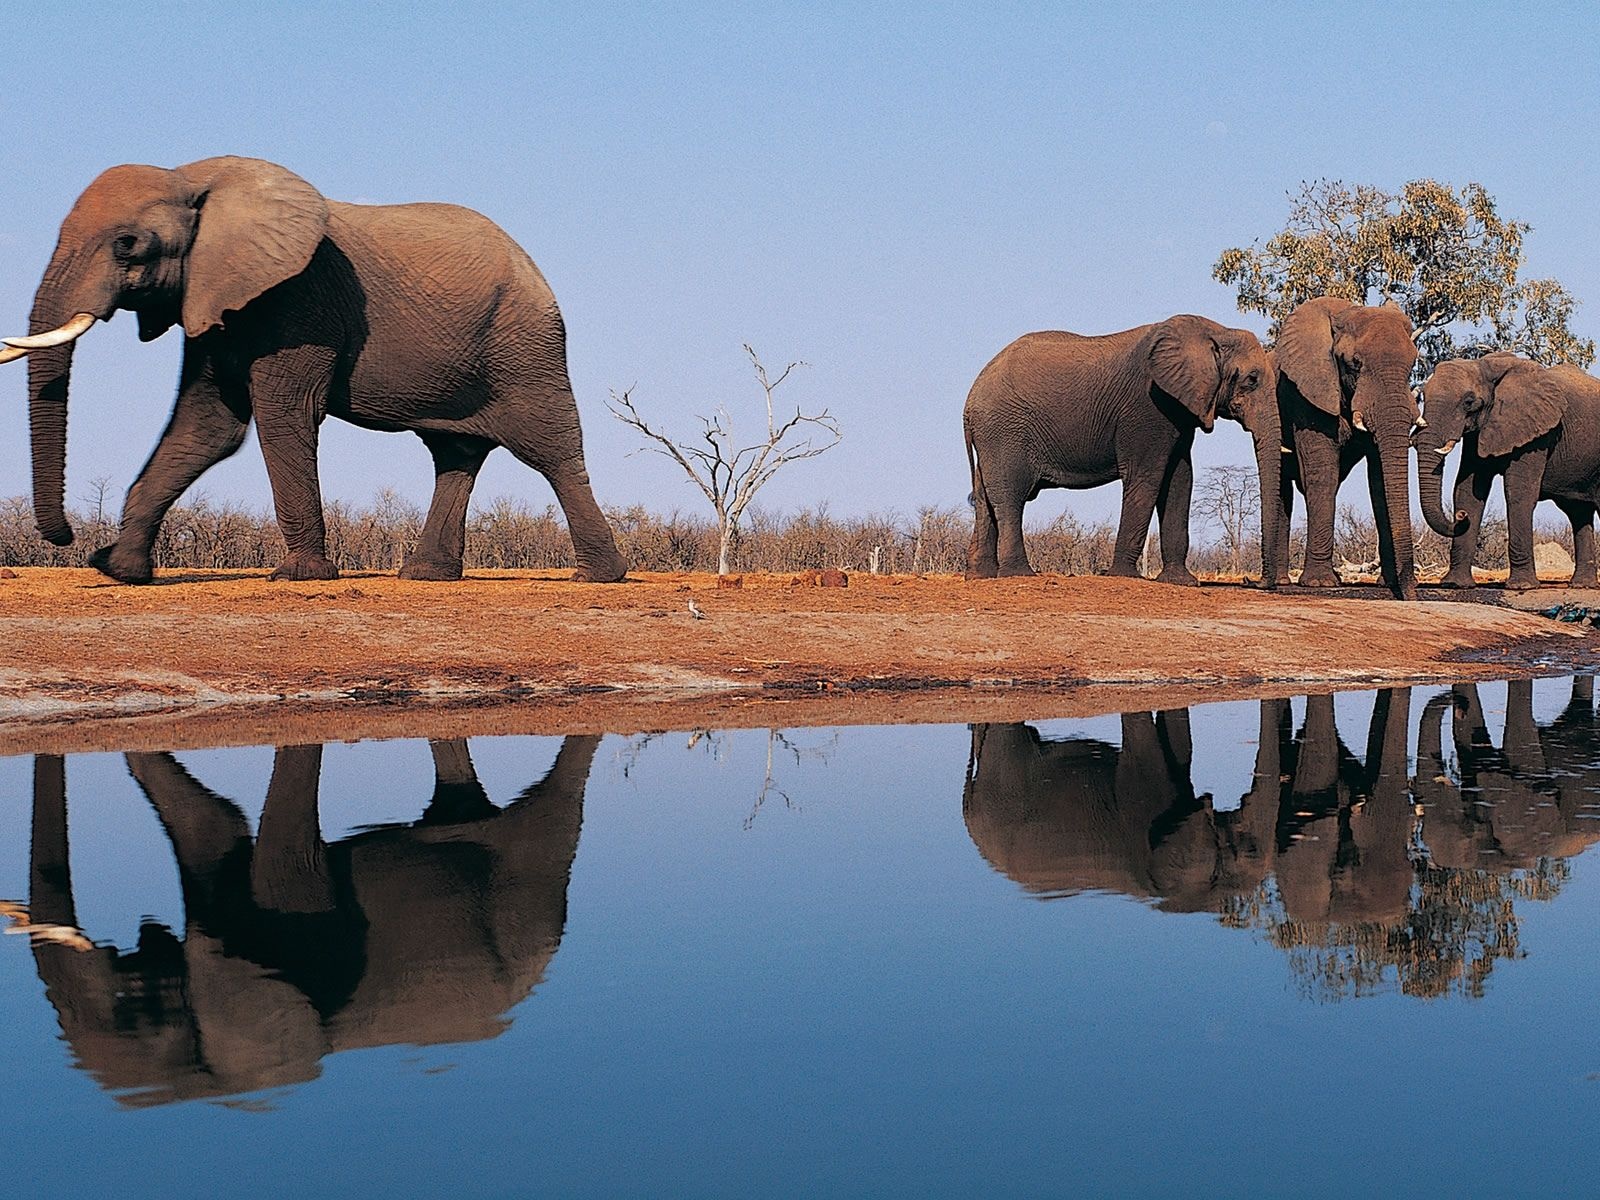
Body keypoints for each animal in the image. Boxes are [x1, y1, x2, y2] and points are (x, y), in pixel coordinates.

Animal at [0, 155, 624, 588]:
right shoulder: (216, 300)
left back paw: (599, 576)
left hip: (527, 345)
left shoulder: (299, 299)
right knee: (454, 453)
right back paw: (424, 575)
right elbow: (206, 428)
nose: (69, 538)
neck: (192, 178)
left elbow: (284, 416)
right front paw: (119, 570)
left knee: (550, 449)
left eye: (129, 246)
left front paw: (298, 576)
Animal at [953, 316, 1280, 585]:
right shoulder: (1147, 406)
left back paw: (980, 577)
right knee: (1011, 496)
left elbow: (1180, 480)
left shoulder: (1180, 409)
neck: (1216, 331)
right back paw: (1019, 575)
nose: (1253, 582)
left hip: (993, 437)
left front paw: (1181, 582)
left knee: (985, 497)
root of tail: (969, 400)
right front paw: (1123, 575)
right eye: (1252, 379)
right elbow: (1146, 477)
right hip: (1004, 431)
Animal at [1273, 299, 1427, 598]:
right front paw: (1320, 584)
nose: (1412, 594)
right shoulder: (1307, 395)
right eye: (1354, 363)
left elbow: (1378, 481)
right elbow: (1323, 474)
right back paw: (1283, 581)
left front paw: (1388, 583)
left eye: (1413, 363)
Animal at [1414, 350, 1600, 588]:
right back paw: (1582, 585)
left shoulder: (1537, 433)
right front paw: (1455, 584)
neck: (1485, 366)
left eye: (1468, 402)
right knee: (1578, 513)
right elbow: (1467, 490)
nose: (1460, 517)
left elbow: (1518, 492)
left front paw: (1522, 586)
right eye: (1423, 396)